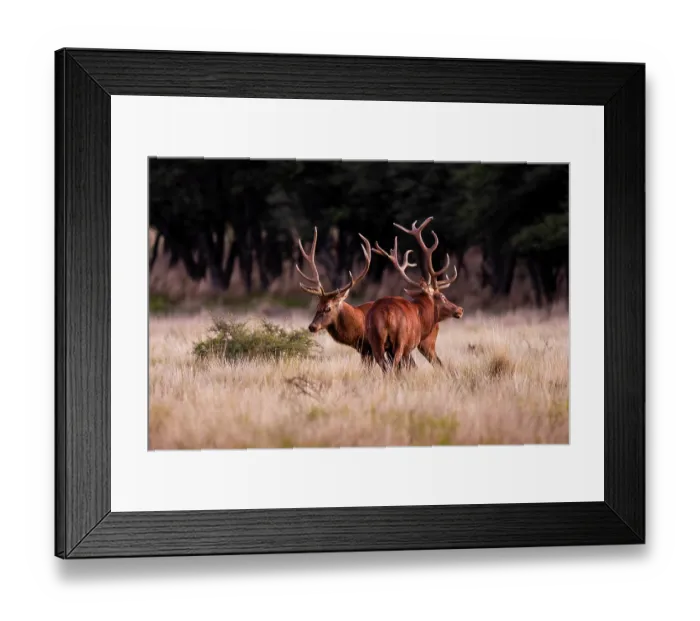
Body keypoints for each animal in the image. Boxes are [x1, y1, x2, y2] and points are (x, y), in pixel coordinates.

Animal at [366, 217, 464, 373]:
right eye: (442, 296)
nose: (460, 309)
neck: (421, 315)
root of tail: (386, 314)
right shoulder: (410, 345)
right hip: (400, 341)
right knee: (395, 366)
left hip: (375, 341)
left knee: (384, 366)